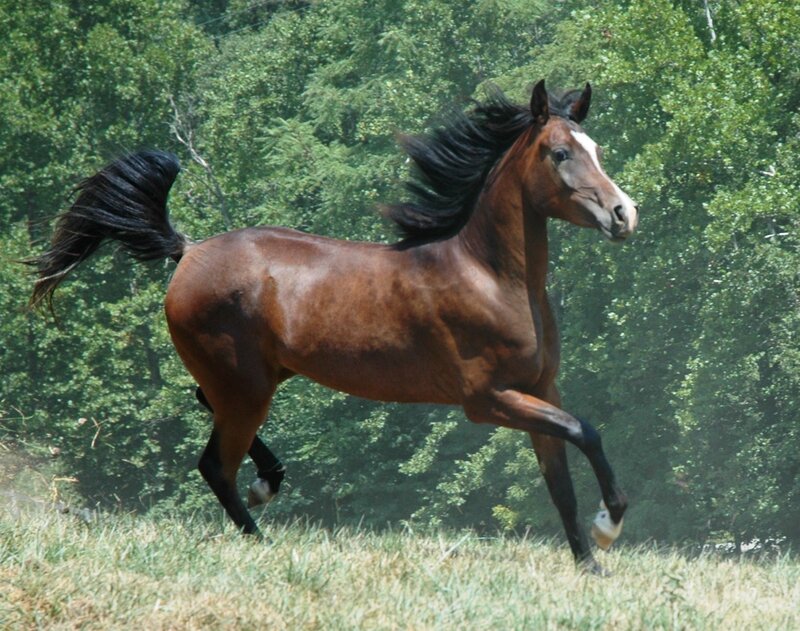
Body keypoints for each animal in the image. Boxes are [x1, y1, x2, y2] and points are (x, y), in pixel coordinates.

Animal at [30, 80, 637, 573]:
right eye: (560, 153)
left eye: (597, 150)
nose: (623, 214)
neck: (488, 276)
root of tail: (189, 251)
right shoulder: (488, 399)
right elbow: (587, 431)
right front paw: (609, 527)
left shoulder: (540, 389)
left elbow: (561, 481)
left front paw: (590, 565)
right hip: (246, 388)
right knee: (214, 466)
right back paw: (263, 538)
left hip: (253, 380)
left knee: (206, 413)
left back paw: (268, 482)